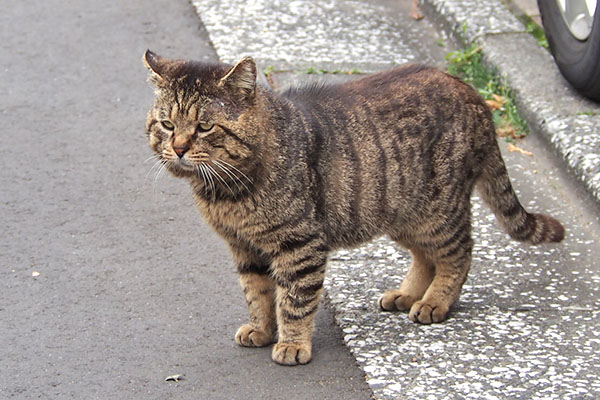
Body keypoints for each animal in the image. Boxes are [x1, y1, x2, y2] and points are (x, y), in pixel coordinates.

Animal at [143, 50, 564, 366]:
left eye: (204, 127)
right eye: (167, 124)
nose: (178, 148)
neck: (225, 193)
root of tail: (471, 92)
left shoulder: (300, 245)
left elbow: (294, 300)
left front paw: (292, 343)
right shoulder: (245, 248)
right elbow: (257, 293)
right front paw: (261, 330)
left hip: (439, 212)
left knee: (458, 256)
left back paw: (434, 302)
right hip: (401, 214)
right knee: (426, 258)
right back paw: (407, 295)